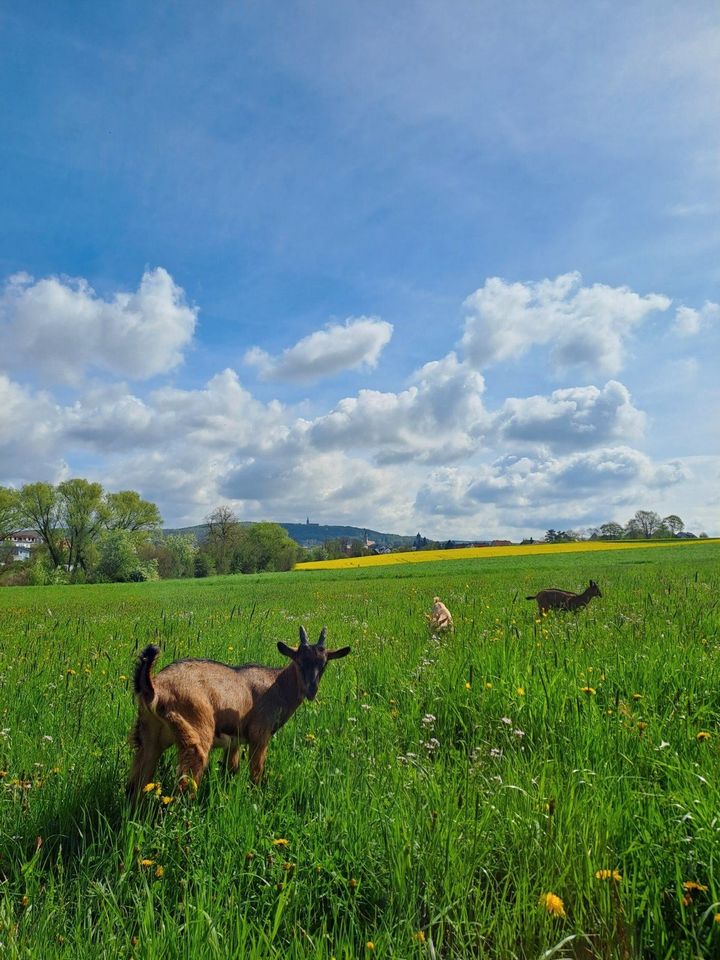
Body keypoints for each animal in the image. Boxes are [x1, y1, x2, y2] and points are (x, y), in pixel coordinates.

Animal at [127, 624, 352, 804]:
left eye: (324, 663)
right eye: (298, 661)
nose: (311, 690)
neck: (276, 685)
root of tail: (155, 688)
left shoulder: (234, 741)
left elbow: (231, 770)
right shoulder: (260, 735)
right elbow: (256, 773)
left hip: (149, 736)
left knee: (135, 784)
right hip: (196, 735)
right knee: (183, 789)